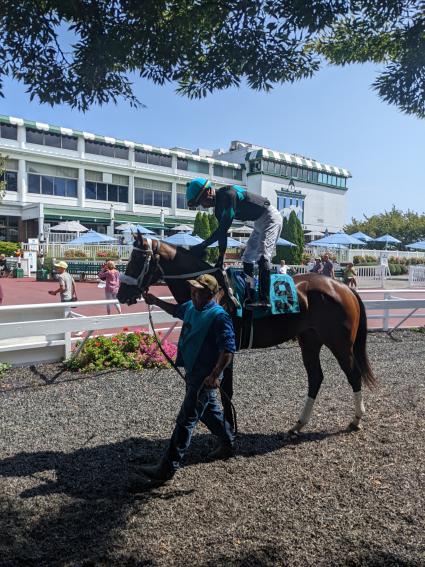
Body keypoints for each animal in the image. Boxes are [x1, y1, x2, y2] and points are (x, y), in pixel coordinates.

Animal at [116, 235, 374, 434]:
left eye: (138, 259)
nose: (121, 293)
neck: (216, 293)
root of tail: (343, 287)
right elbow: (223, 390)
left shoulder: (225, 347)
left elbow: (225, 391)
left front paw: (229, 430)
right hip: (310, 340)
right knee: (316, 377)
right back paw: (299, 424)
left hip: (339, 342)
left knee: (353, 374)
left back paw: (356, 419)